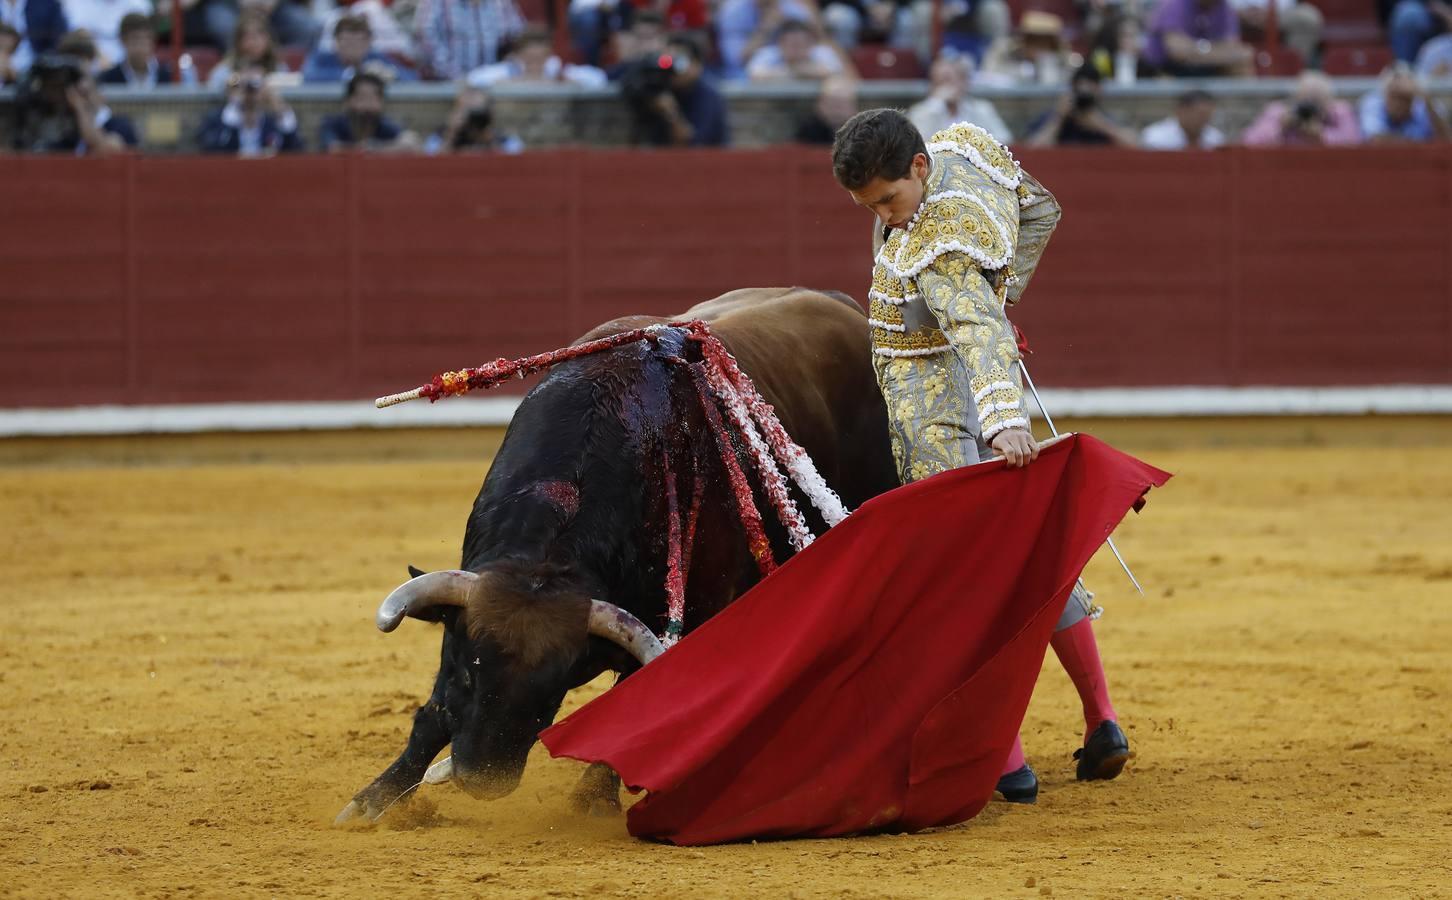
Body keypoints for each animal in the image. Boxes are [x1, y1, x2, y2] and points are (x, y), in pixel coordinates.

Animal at [333, 285, 894, 824]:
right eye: (469, 672)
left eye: (552, 691)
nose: (479, 778)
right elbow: (434, 712)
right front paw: (376, 797)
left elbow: (635, 697)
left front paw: (593, 796)